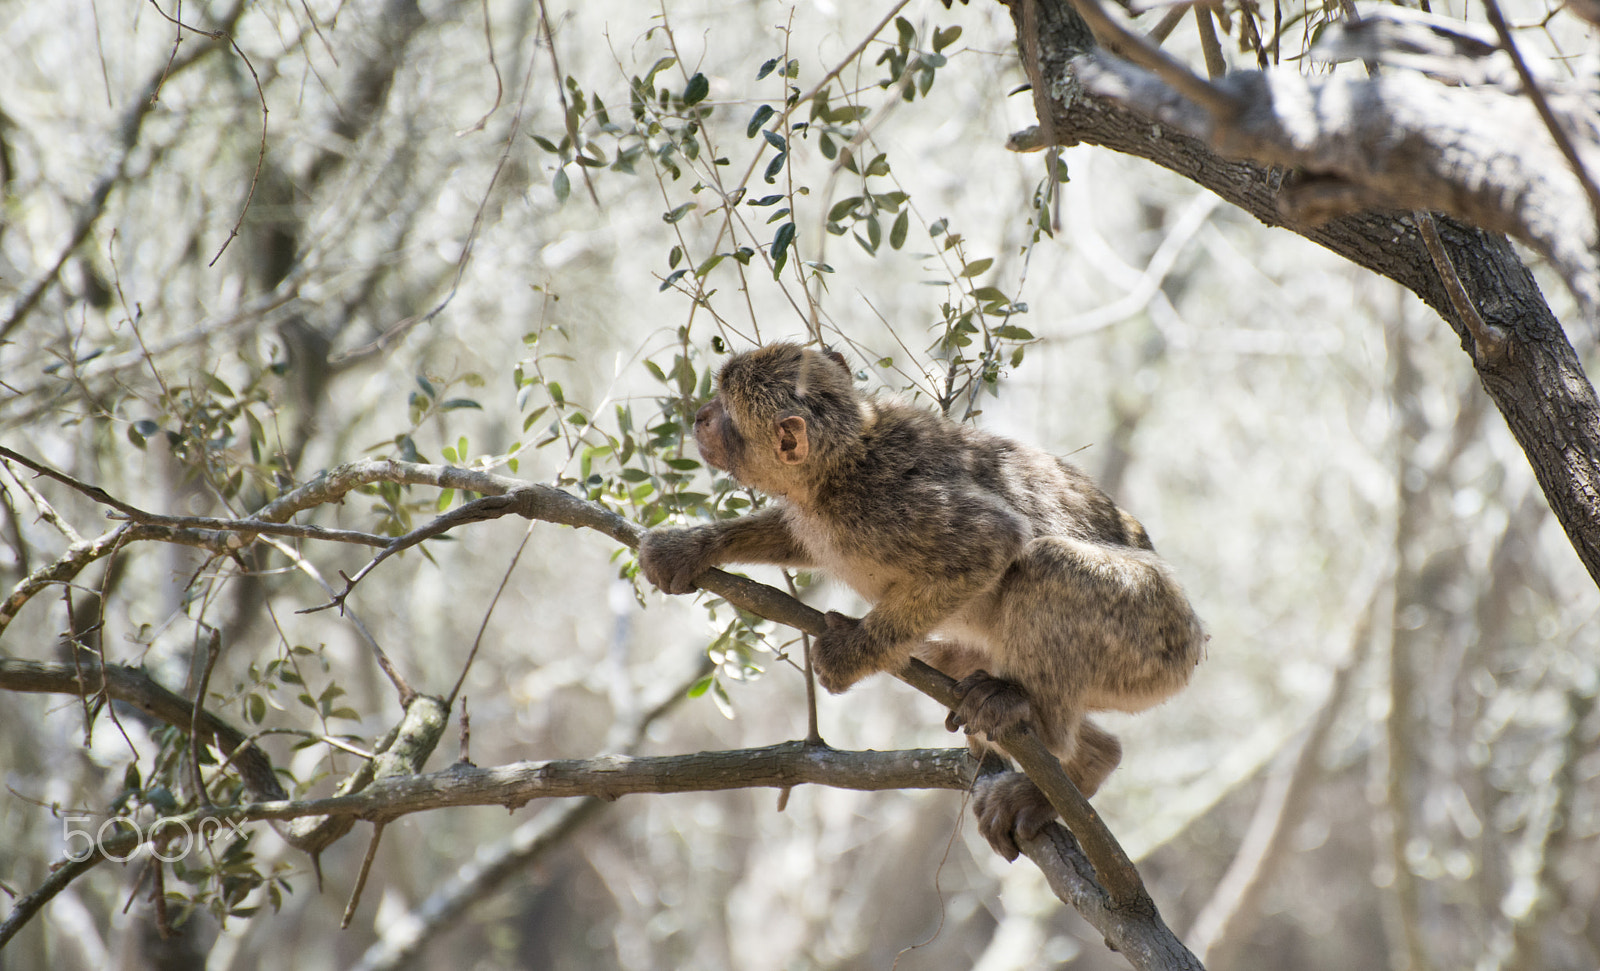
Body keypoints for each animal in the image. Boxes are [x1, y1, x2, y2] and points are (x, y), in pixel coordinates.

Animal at [639, 343, 1205, 859]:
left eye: (724, 411)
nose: (700, 416)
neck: (841, 466)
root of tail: (1197, 644)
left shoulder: (888, 505)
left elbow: (992, 540)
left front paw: (849, 653)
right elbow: (798, 538)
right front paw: (692, 547)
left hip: (1155, 644)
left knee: (1048, 564)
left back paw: (1036, 719)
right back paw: (1088, 762)